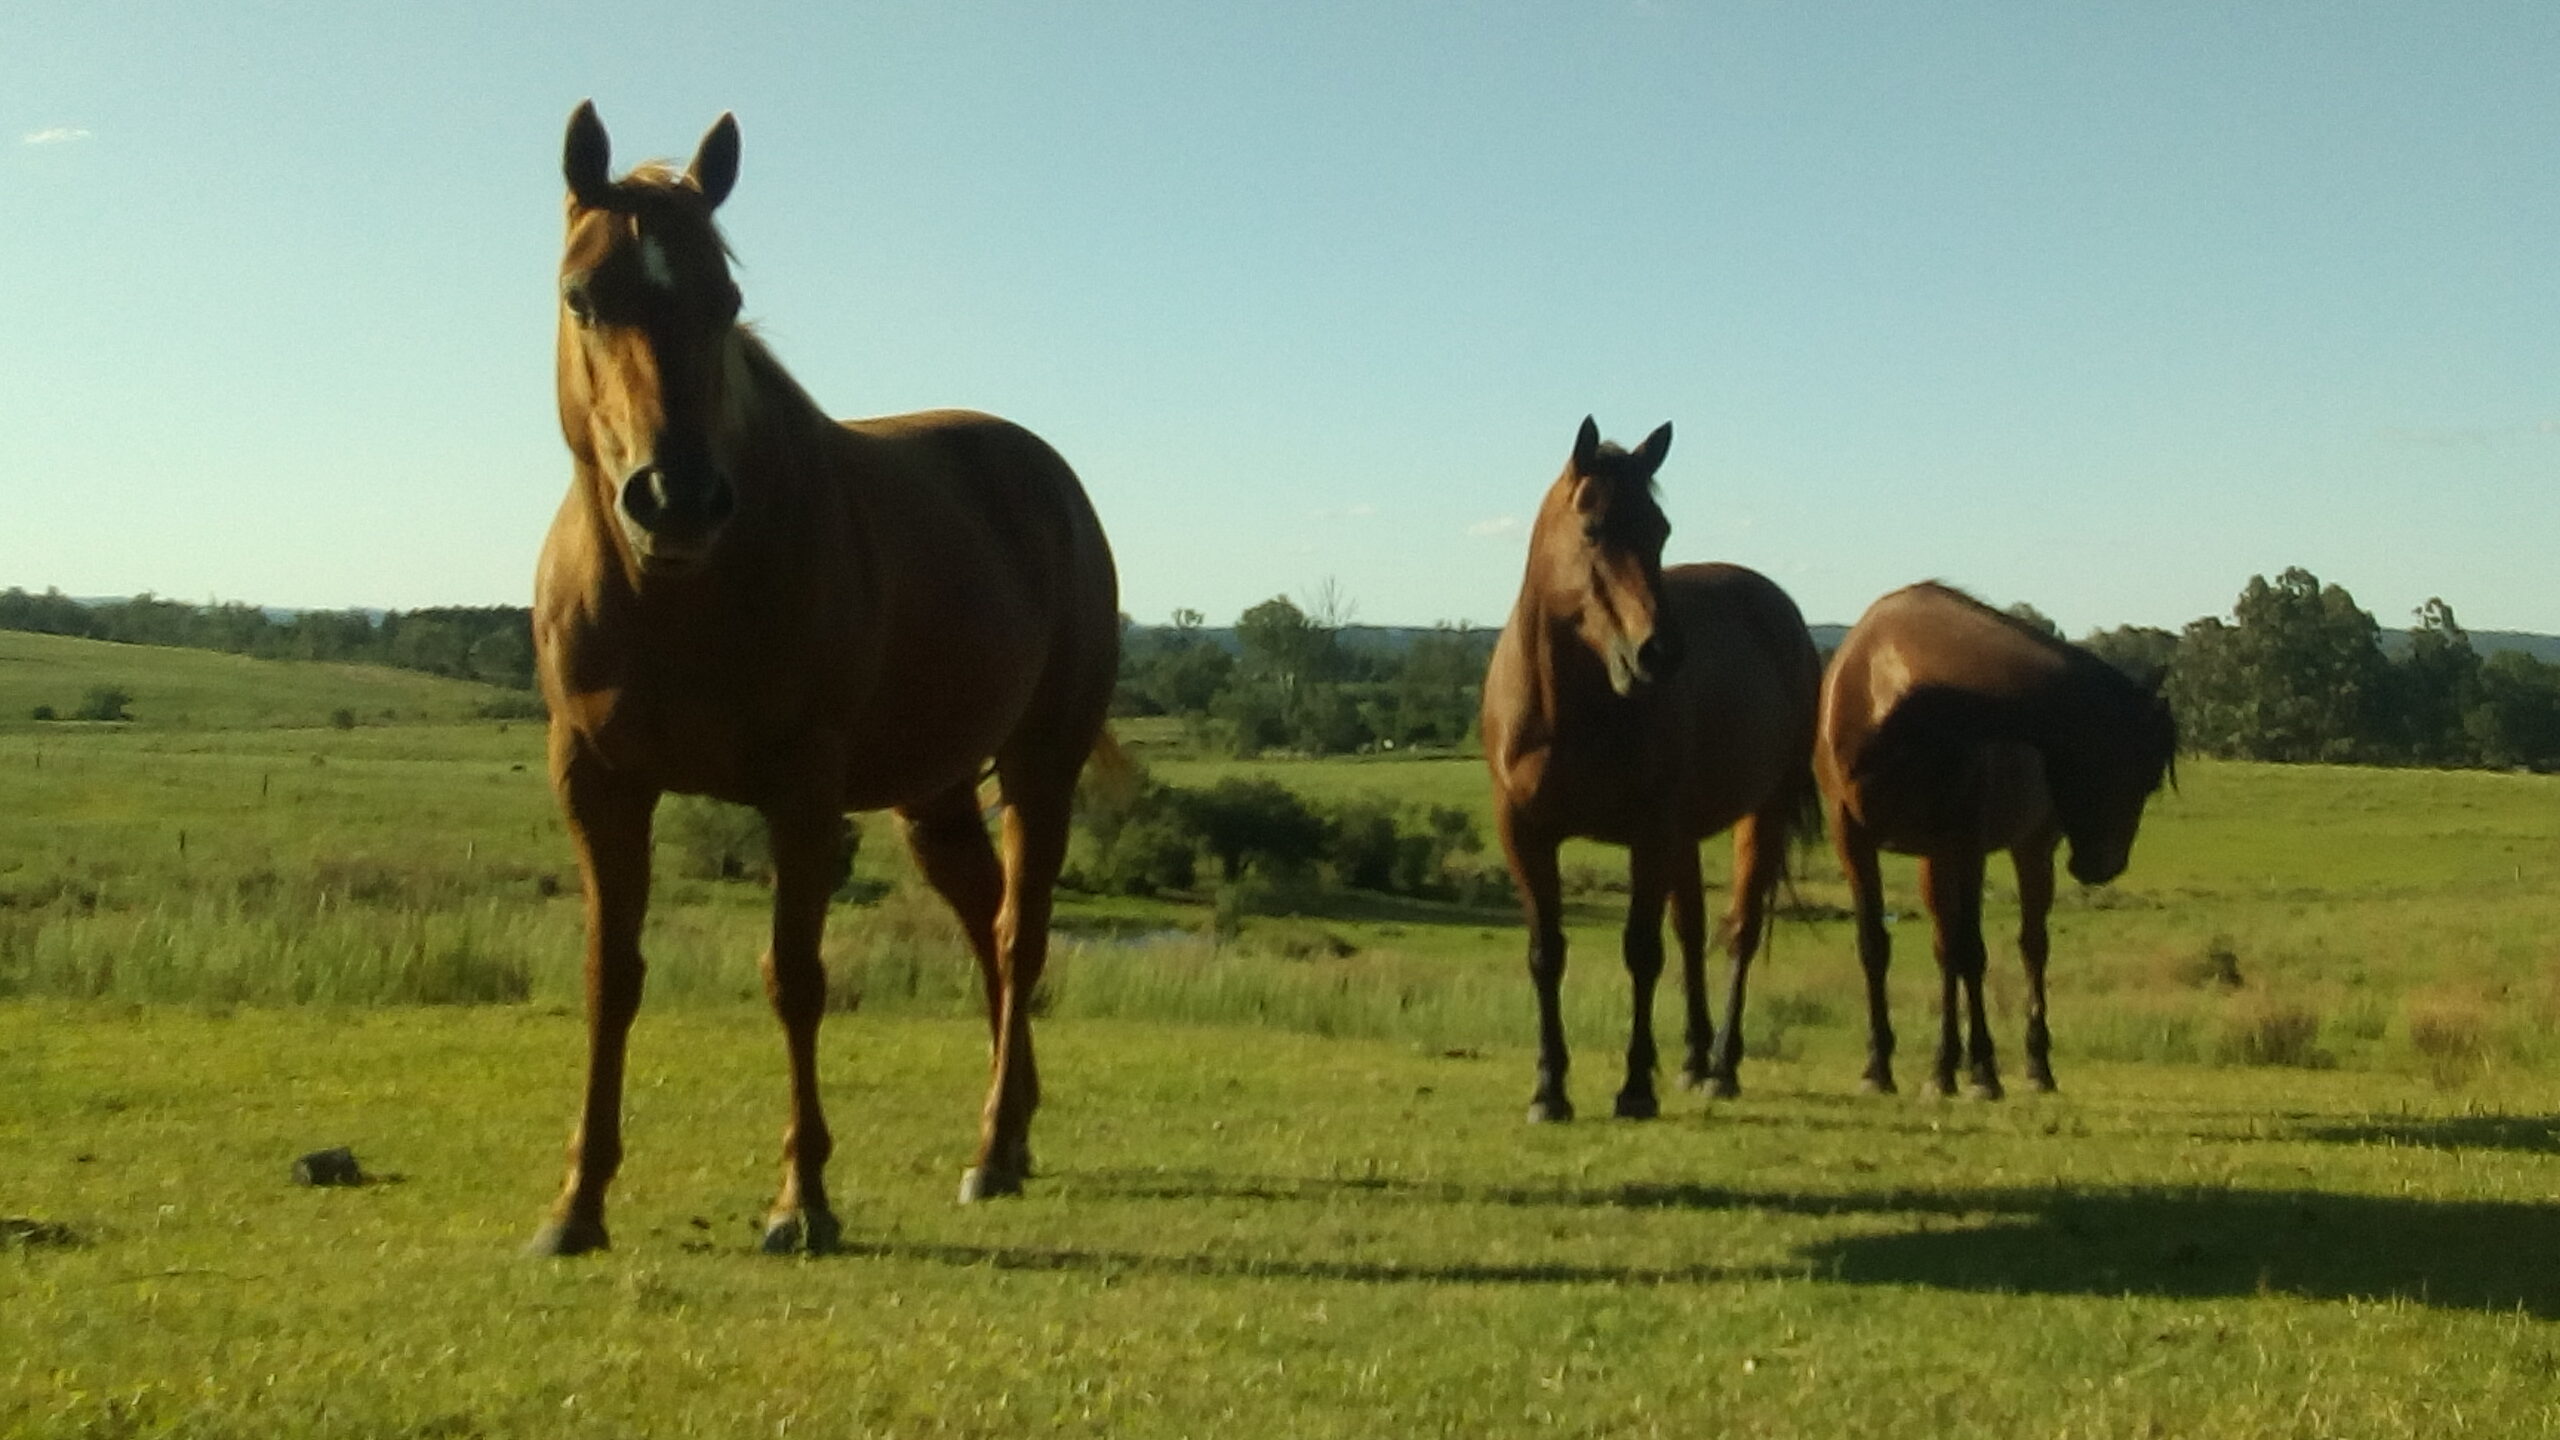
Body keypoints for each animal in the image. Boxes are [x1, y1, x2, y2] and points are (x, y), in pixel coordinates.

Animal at [527, 103, 1119, 1256]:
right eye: (583, 296)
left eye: (724, 299)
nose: (675, 498)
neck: (681, 593)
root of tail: (1049, 479)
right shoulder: (599, 785)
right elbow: (610, 980)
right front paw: (576, 1204)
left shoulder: (801, 795)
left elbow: (795, 982)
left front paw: (801, 1200)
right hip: (935, 798)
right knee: (987, 932)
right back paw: (1013, 1136)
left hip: (1040, 769)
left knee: (1018, 939)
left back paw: (991, 1148)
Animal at [1482, 417, 1823, 1123]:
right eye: (1592, 529)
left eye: (1661, 530)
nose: (1659, 653)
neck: (1567, 709)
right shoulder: (1525, 833)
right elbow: (1546, 954)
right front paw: (1549, 1089)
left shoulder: (1648, 833)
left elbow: (1641, 952)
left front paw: (1635, 1087)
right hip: (1685, 835)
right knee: (1692, 931)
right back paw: (1693, 1060)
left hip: (1759, 814)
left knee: (1739, 932)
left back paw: (1721, 1067)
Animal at [1814, 582, 2176, 1099]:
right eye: (2142, 775)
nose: (2106, 865)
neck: (1891, 695)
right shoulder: (1855, 840)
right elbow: (1877, 946)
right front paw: (1878, 1068)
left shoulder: (1965, 842)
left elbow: (1972, 951)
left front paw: (1983, 1070)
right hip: (1935, 859)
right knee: (1946, 947)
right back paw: (1946, 1067)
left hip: (2026, 852)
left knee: (2029, 947)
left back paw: (2033, 1065)